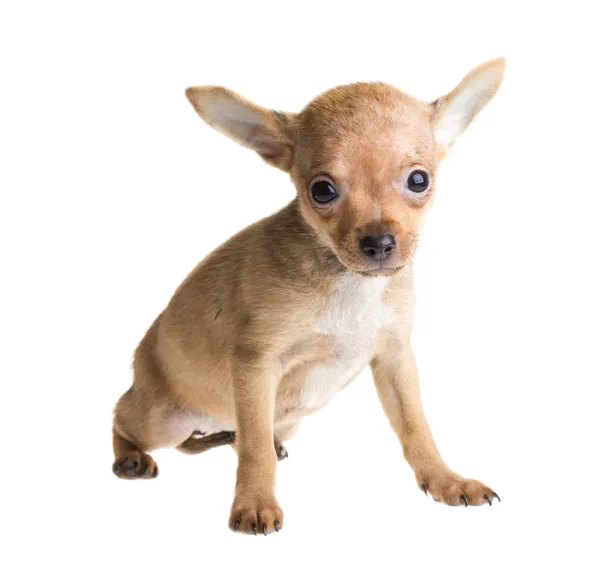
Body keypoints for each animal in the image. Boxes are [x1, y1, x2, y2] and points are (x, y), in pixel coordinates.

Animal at [113, 58, 506, 536]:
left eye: (419, 180)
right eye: (322, 190)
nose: (379, 242)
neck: (352, 287)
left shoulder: (394, 359)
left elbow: (416, 428)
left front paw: (446, 481)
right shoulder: (255, 365)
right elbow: (256, 452)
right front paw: (255, 503)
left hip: (279, 421)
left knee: (241, 435)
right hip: (162, 420)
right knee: (124, 417)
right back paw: (131, 458)